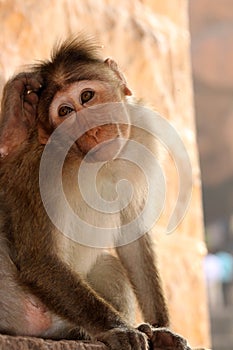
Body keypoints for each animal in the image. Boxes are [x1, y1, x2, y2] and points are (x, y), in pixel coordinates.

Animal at [0, 36, 190, 350]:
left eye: (87, 96)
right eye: (65, 111)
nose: (92, 128)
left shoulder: (142, 135)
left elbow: (132, 239)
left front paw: (161, 328)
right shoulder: (42, 166)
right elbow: (39, 258)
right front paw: (117, 328)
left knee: (110, 265)